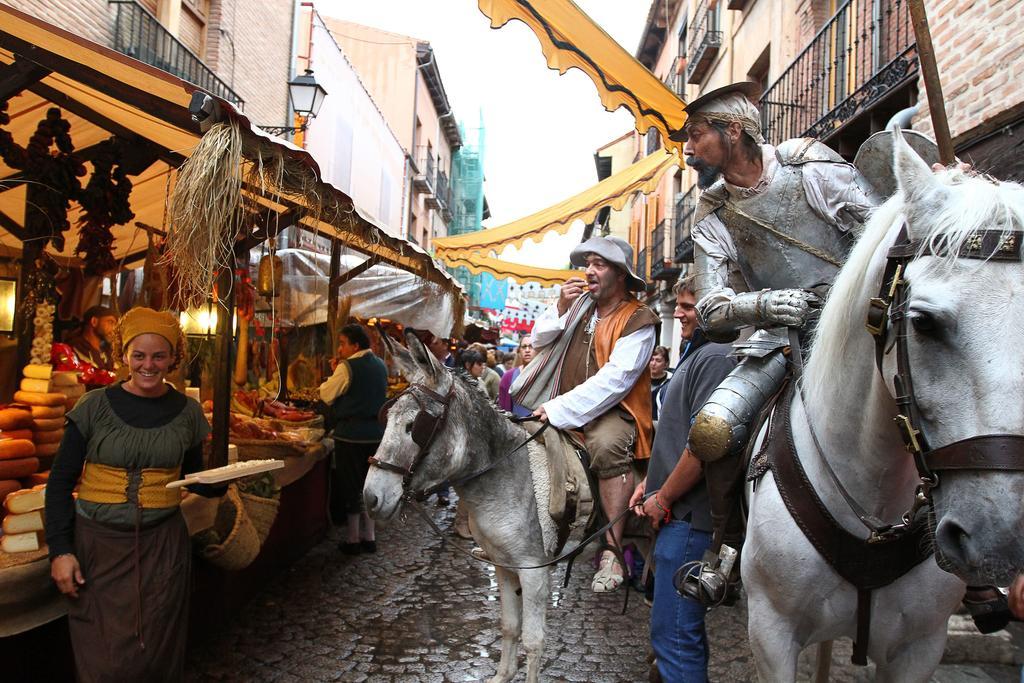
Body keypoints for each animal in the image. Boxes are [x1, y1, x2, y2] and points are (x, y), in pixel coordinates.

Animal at [360, 335, 589, 683]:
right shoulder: (504, 565)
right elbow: (509, 627)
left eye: (415, 426)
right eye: (386, 419)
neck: (507, 474)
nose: (371, 497)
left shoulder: (534, 569)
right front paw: (503, 675)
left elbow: (533, 640)